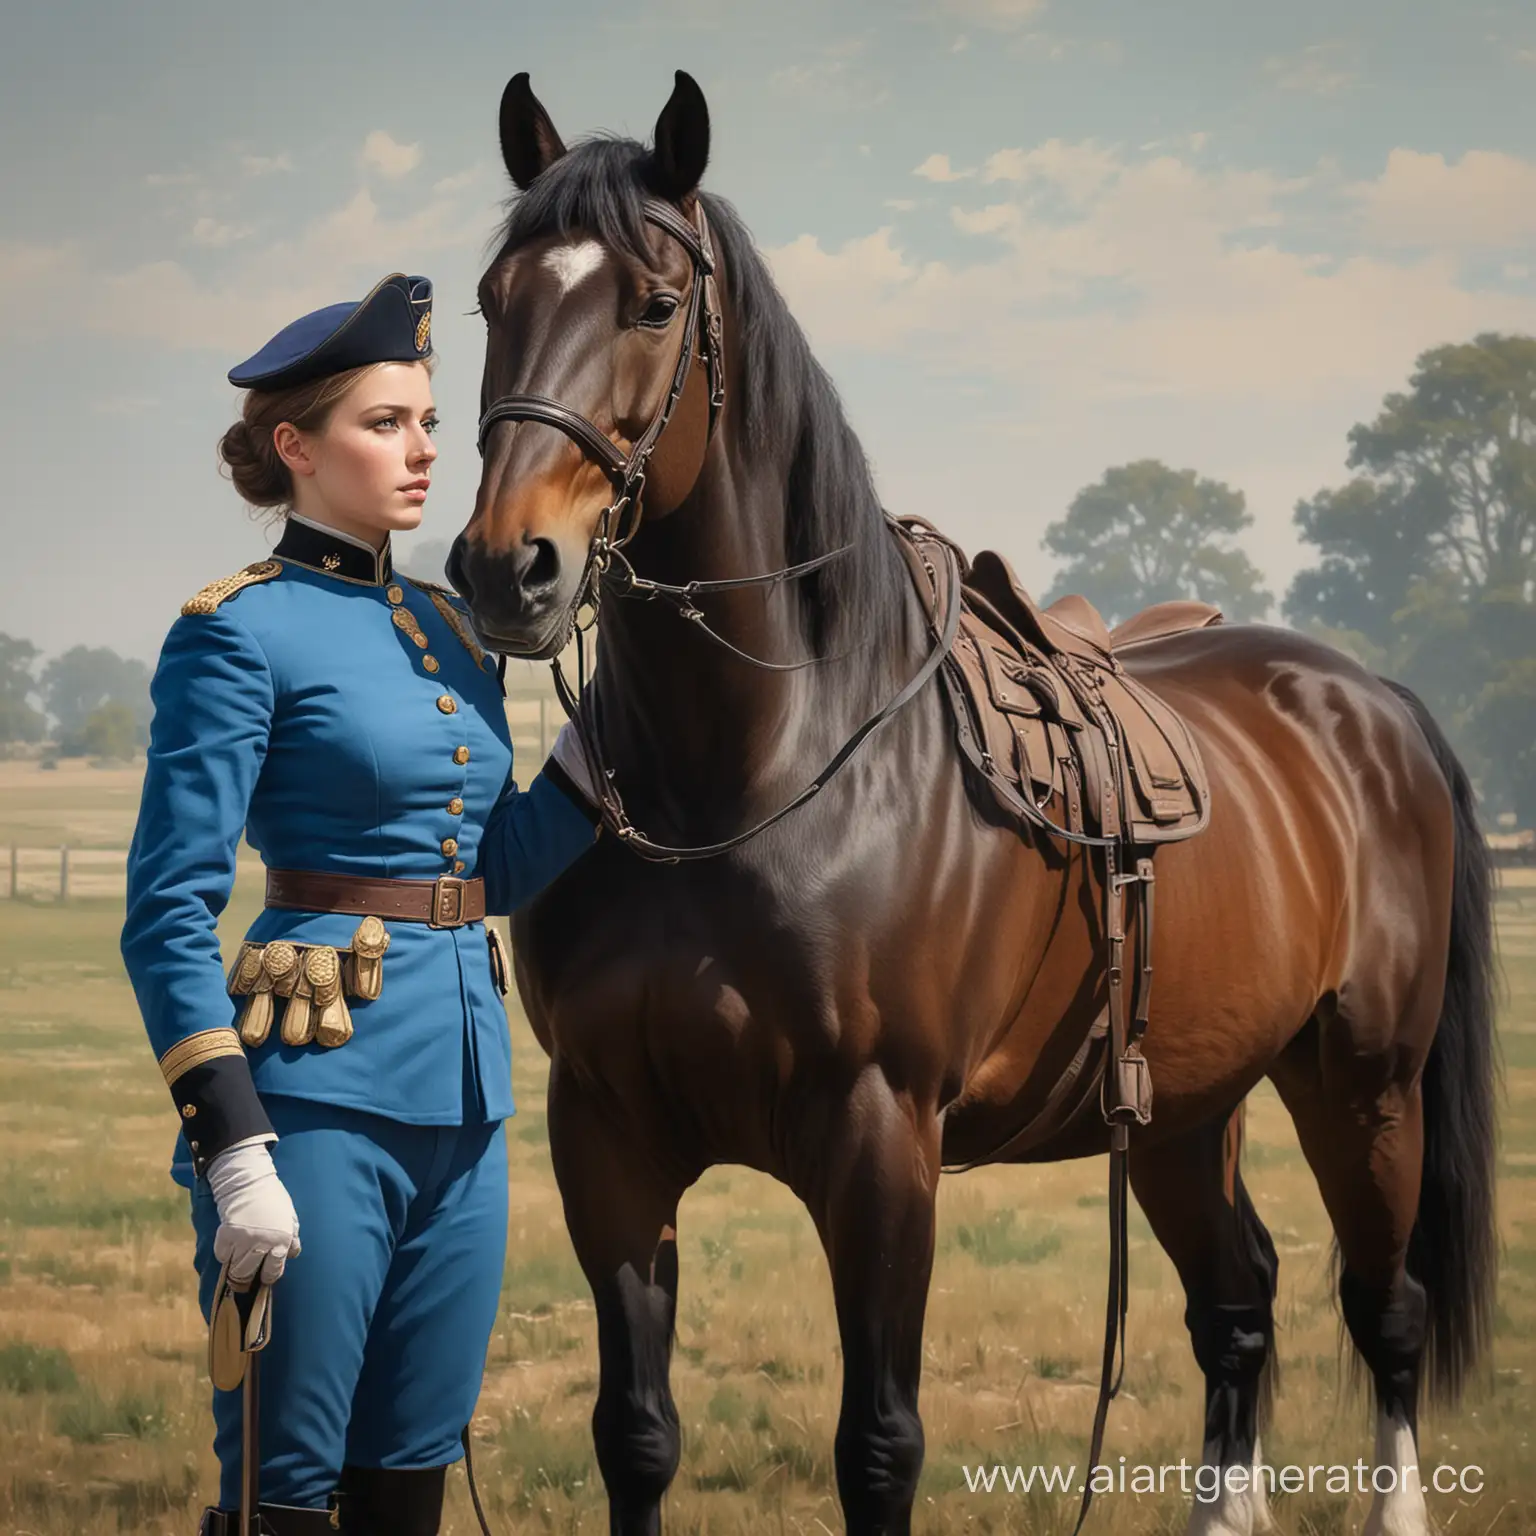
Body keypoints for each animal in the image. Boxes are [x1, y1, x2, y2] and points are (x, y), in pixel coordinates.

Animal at [448, 72, 1499, 1536]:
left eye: (654, 304)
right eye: (493, 301)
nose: (510, 568)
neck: (752, 777)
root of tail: (1371, 698)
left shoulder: (881, 1143)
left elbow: (880, 1446)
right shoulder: (607, 1135)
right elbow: (637, 1436)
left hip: (1367, 1085)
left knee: (1384, 1311)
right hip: (1187, 1104)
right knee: (1237, 1304)